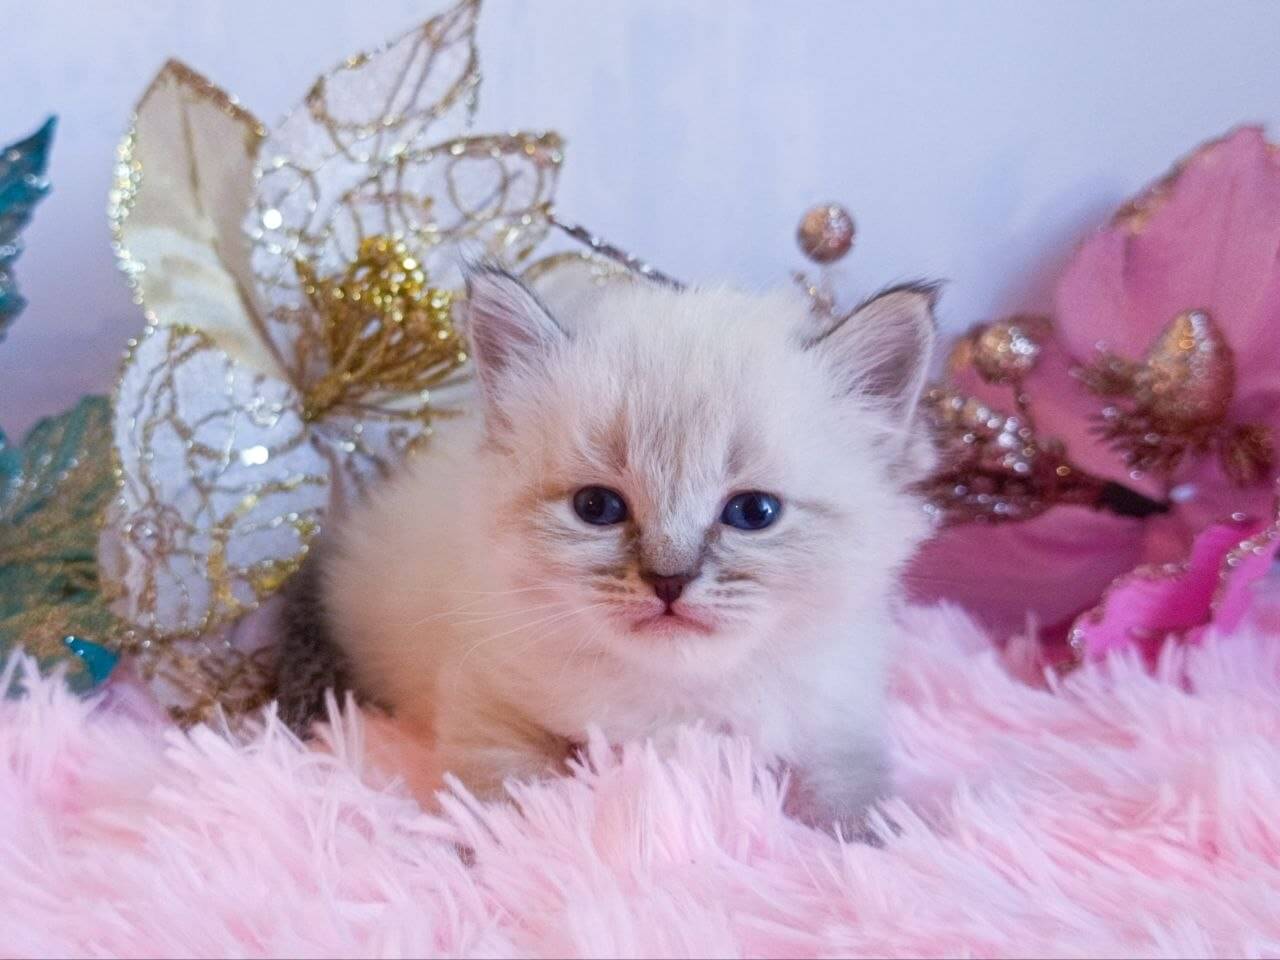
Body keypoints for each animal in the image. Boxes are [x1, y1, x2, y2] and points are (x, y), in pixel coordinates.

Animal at [300, 266, 939, 829]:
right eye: (597, 507)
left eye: (753, 513)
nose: (669, 581)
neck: (676, 703)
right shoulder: (488, 695)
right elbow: (506, 800)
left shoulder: (838, 719)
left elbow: (851, 801)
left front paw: (861, 844)